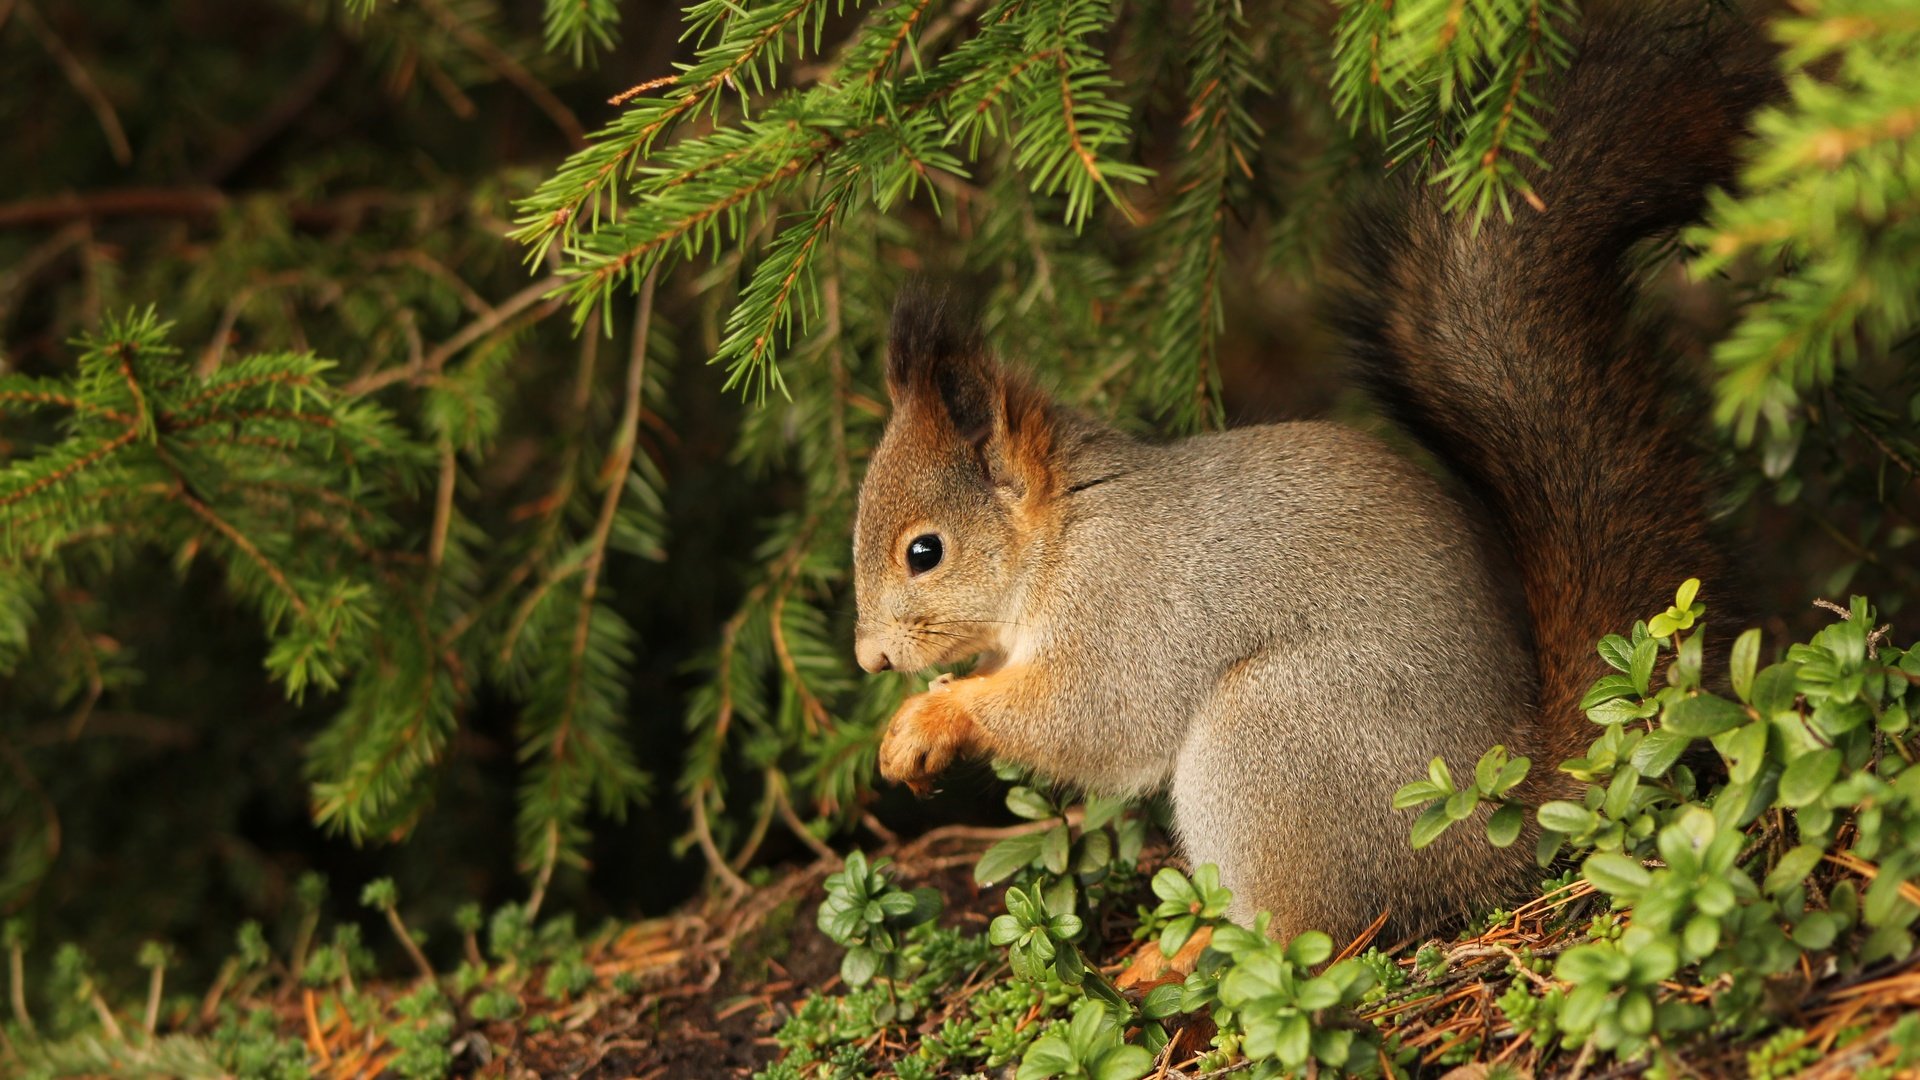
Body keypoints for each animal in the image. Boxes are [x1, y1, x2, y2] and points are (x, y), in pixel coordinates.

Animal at [848, 4, 1774, 937]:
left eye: (924, 552)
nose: (869, 661)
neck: (1065, 534)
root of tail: (1491, 817)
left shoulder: (1124, 611)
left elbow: (1094, 718)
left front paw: (933, 716)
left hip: (1274, 738)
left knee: (1308, 935)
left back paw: (1181, 957)